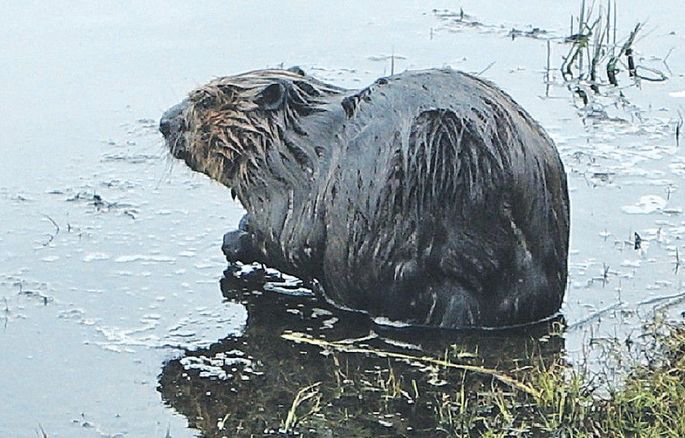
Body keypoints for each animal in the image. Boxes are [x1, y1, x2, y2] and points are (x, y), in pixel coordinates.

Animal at [159, 67, 568, 328]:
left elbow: (288, 240)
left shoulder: (295, 191)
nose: (164, 121)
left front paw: (236, 236)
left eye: (205, 101)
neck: (300, 140)